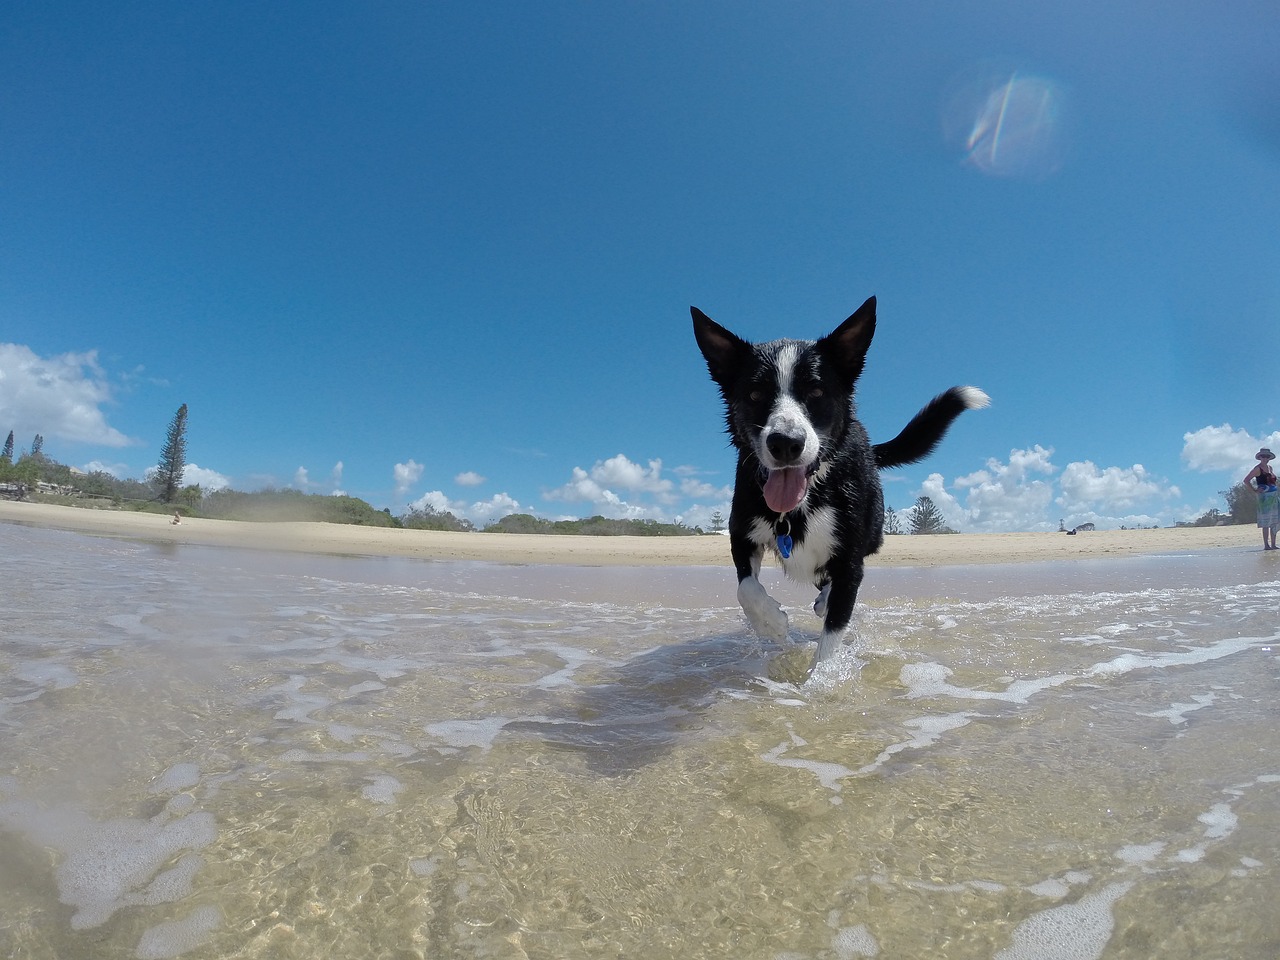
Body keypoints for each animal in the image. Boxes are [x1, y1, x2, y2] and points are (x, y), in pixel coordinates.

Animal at [696, 296, 983, 670]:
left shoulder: (848, 558)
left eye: (817, 391)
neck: (801, 504)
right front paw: (772, 625)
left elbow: (832, 634)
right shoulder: (742, 535)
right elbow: (745, 588)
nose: (785, 443)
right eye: (756, 394)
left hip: (872, 528)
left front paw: (820, 678)